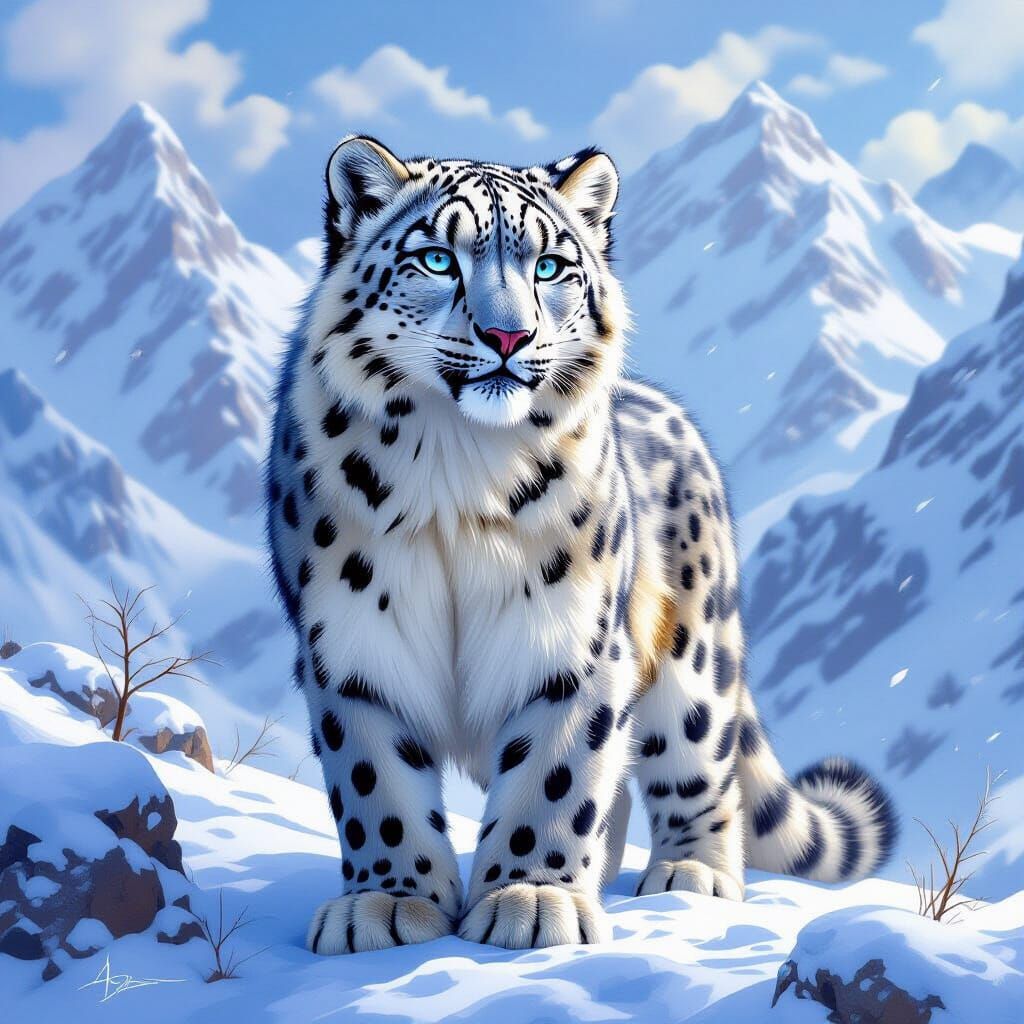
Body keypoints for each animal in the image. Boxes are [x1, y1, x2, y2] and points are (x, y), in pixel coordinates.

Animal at [265, 136, 897, 954]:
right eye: (437, 258)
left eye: (549, 266)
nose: (509, 336)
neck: (455, 467)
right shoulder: (350, 647)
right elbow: (377, 784)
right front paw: (388, 903)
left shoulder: (573, 643)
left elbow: (556, 775)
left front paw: (531, 898)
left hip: (693, 654)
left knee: (698, 760)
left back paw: (692, 877)